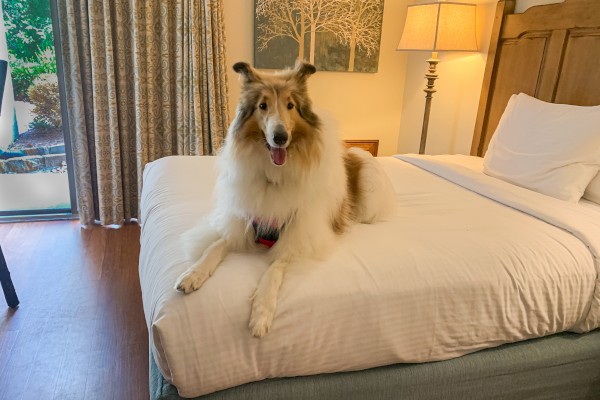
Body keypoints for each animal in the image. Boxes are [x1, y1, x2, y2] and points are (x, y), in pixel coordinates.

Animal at [176, 61, 396, 338]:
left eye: (290, 105)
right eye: (262, 105)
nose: (280, 137)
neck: (273, 177)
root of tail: (352, 154)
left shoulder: (297, 236)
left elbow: (274, 269)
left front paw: (261, 312)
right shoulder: (242, 219)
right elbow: (215, 246)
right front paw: (193, 274)